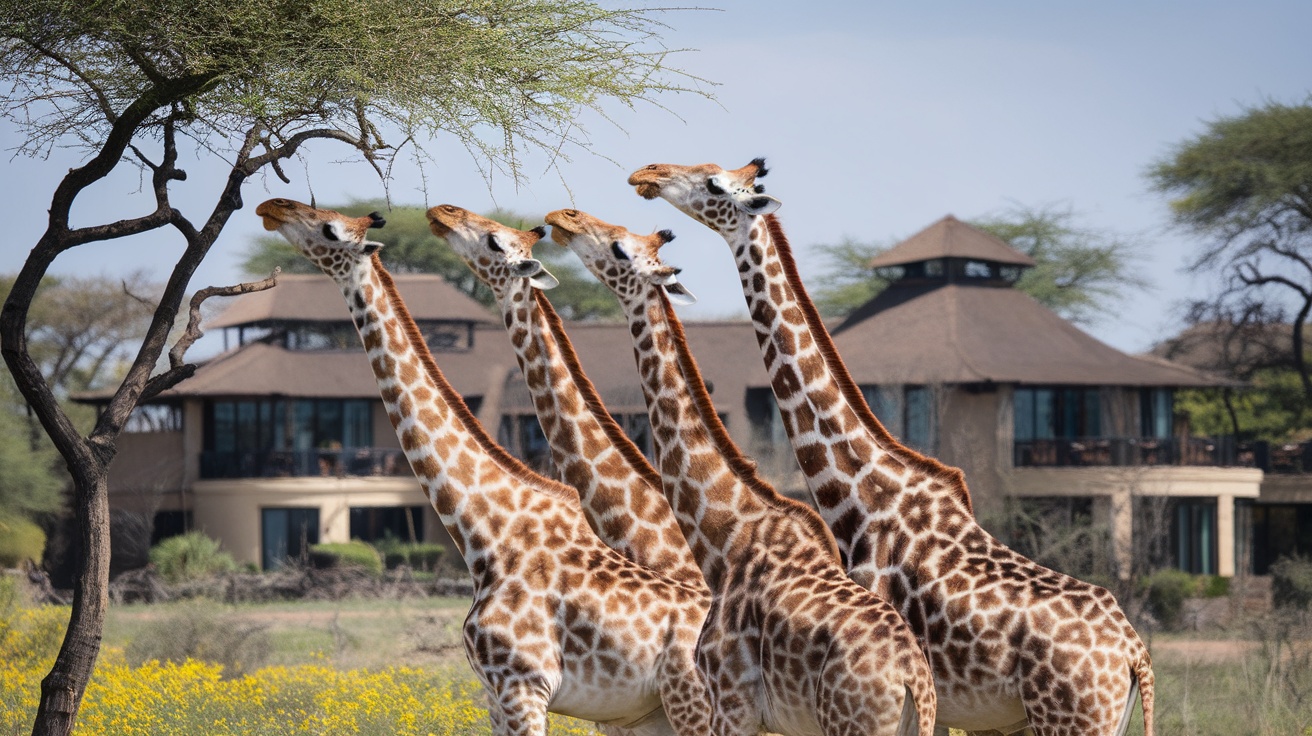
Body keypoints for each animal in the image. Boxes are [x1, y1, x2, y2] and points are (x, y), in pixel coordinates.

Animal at [548, 207, 939, 734]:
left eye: (620, 249)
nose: (562, 217)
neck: (724, 539)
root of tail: (910, 677)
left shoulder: (731, 701)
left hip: (851, 721)